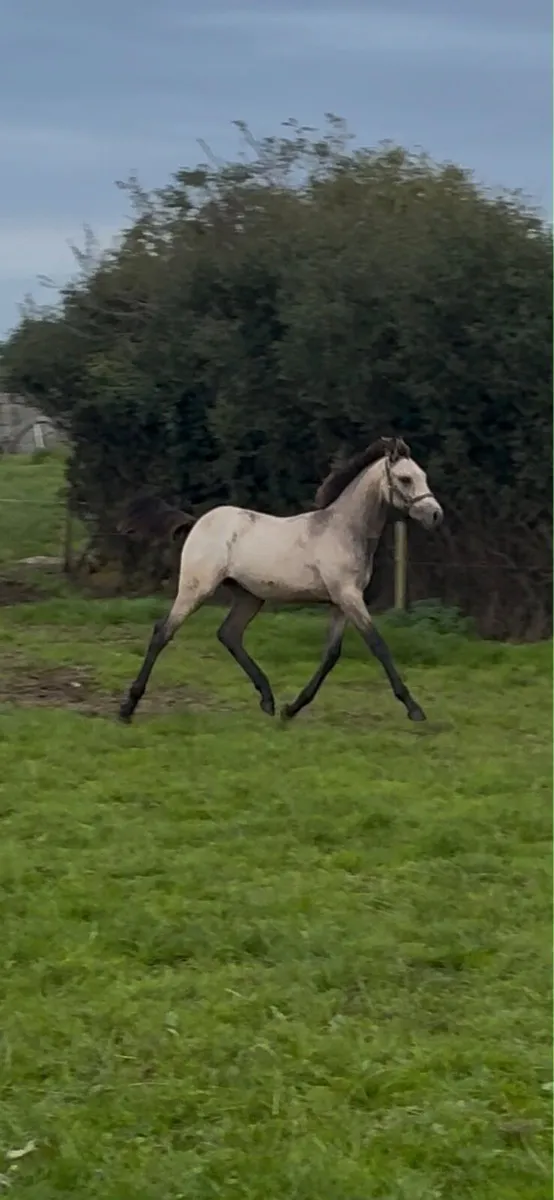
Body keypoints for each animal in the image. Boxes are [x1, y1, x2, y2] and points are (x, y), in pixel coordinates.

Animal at [117, 436, 443, 725]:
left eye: (423, 476)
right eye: (404, 479)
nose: (435, 515)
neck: (343, 530)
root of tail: (197, 522)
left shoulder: (340, 602)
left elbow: (331, 655)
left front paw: (292, 709)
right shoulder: (349, 597)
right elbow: (378, 645)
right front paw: (415, 709)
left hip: (249, 596)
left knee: (229, 634)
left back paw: (268, 700)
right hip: (196, 588)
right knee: (163, 632)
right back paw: (127, 708)